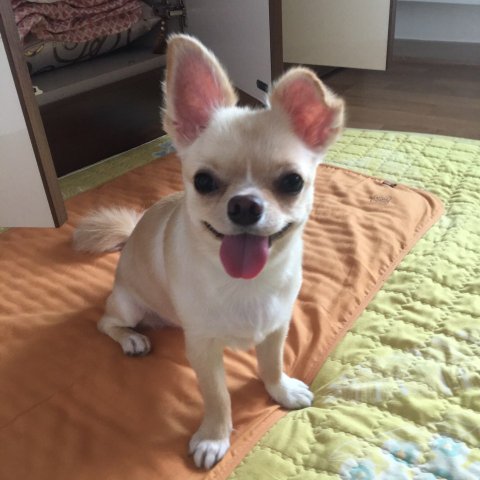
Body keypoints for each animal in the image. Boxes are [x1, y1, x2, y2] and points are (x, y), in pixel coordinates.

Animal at [74, 34, 344, 469]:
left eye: (292, 182)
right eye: (203, 181)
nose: (245, 205)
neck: (246, 284)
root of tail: (131, 234)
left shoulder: (276, 327)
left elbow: (272, 365)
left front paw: (281, 391)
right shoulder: (202, 348)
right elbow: (217, 396)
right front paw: (215, 438)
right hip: (128, 305)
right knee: (106, 323)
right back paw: (132, 339)